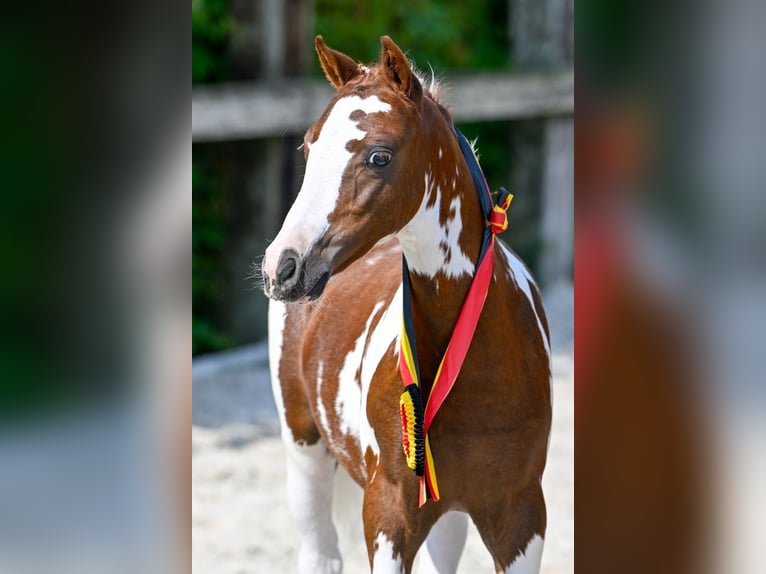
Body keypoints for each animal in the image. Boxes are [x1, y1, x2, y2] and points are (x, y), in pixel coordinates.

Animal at [262, 37, 552, 574]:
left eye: (379, 156)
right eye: (309, 148)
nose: (282, 266)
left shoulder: (522, 518)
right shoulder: (388, 513)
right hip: (305, 449)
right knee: (320, 551)